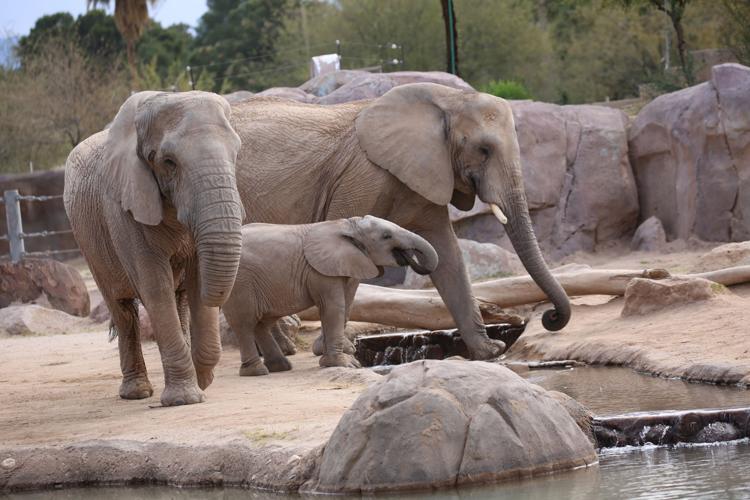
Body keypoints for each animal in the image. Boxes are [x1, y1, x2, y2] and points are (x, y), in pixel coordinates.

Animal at [64, 91, 244, 406]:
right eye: (169, 161)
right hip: (88, 242)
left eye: (236, 153)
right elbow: (155, 287)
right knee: (123, 311)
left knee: (179, 301)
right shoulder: (124, 206)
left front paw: (201, 383)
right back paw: (136, 392)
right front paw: (185, 399)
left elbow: (196, 280)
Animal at [222, 215, 440, 376]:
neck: (349, 226)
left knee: (263, 322)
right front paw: (344, 364)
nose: (410, 258)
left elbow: (347, 303)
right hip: (240, 283)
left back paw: (280, 367)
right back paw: (257, 371)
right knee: (245, 323)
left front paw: (340, 359)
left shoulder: (348, 262)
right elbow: (334, 306)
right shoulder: (321, 270)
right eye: (386, 236)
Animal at [232, 83, 572, 360]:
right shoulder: (361, 177)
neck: (449, 99)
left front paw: (489, 351)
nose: (551, 318)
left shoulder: (428, 172)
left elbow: (447, 254)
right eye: (483, 150)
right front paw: (334, 350)